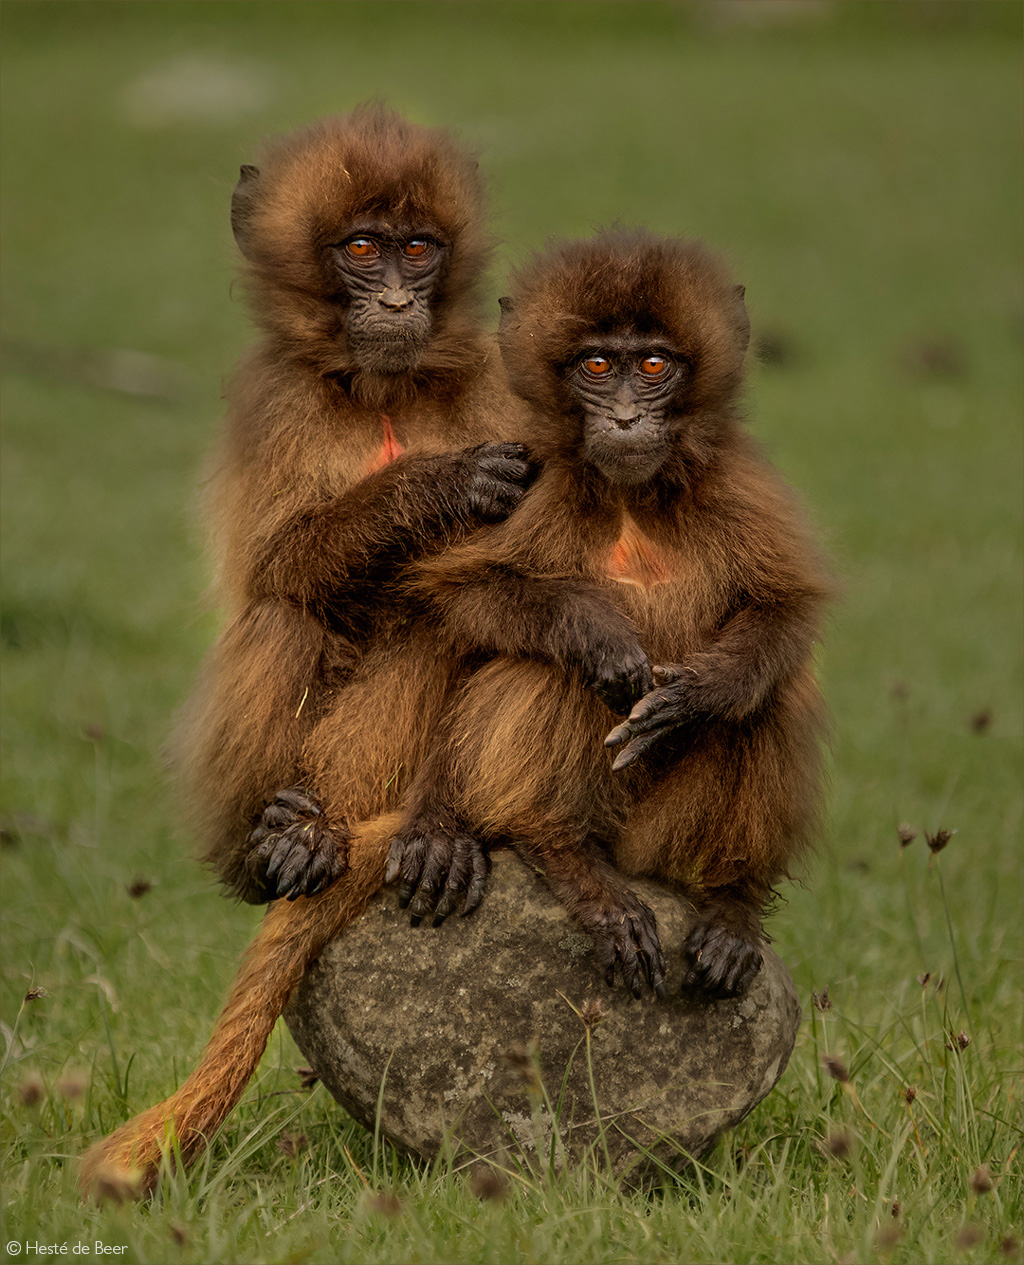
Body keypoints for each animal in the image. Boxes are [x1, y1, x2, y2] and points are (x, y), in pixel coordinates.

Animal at [172, 103, 531, 905]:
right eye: (363, 248)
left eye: (418, 249)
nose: (397, 302)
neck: (383, 390)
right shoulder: (279, 398)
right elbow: (276, 565)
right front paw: (437, 485)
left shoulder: (497, 379)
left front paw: (442, 829)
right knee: (281, 617)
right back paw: (277, 839)